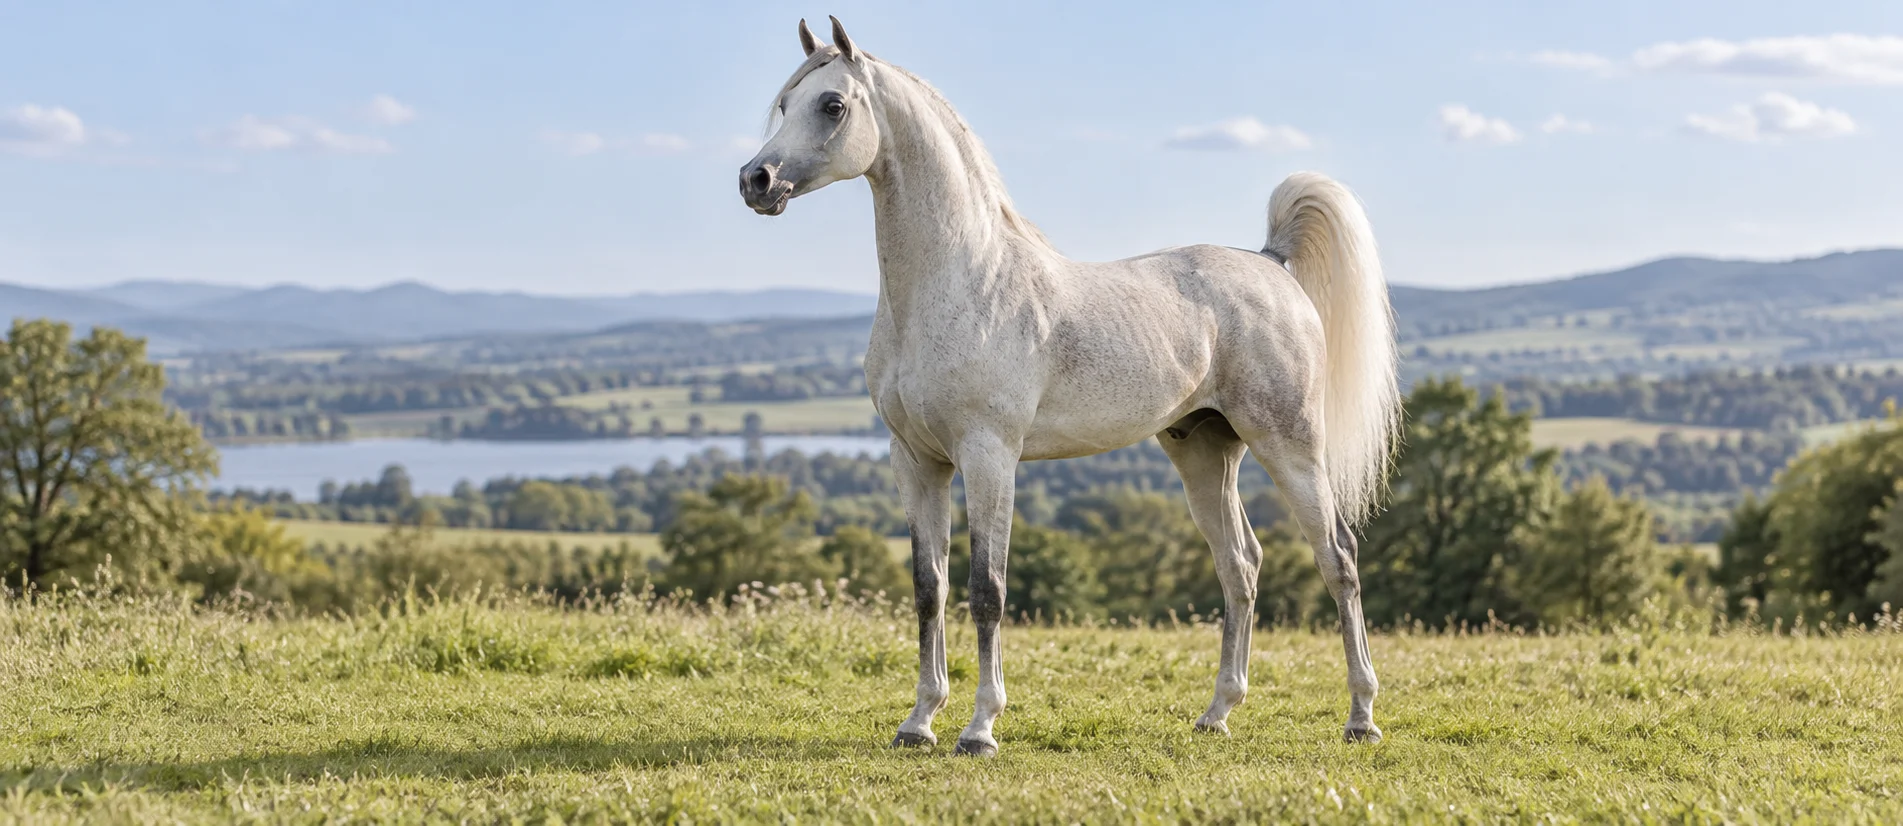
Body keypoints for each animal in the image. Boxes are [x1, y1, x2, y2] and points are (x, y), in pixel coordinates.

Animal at [739, 17, 1399, 756]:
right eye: (784, 105)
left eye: (832, 105)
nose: (756, 179)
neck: (960, 282)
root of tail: (1270, 262)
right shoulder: (915, 461)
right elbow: (928, 587)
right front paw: (918, 721)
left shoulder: (989, 456)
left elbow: (987, 589)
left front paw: (979, 728)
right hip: (1204, 452)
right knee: (1241, 566)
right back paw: (1217, 713)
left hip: (1290, 446)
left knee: (1337, 558)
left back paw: (1361, 716)